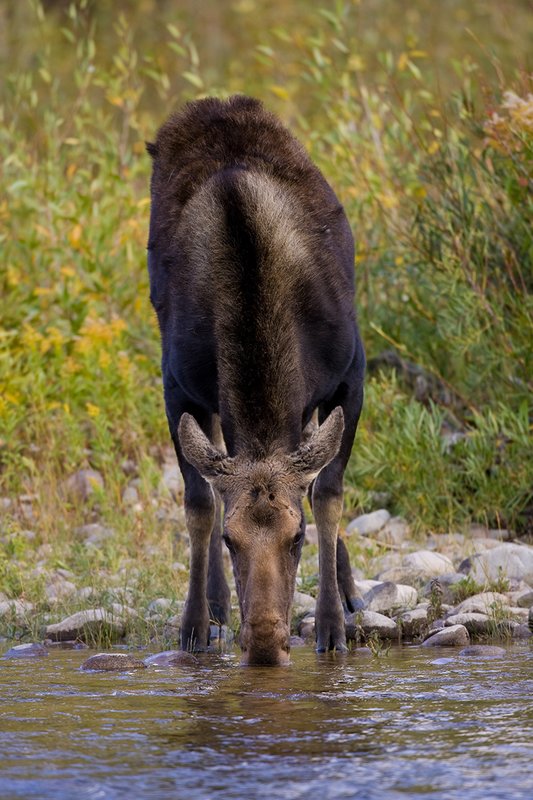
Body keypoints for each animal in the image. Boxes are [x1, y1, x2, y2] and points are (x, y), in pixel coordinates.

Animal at [146, 95, 365, 666]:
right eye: (231, 541)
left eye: (298, 538)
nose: (266, 647)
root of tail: (215, 103)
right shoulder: (176, 385)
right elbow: (199, 504)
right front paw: (195, 624)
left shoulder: (350, 373)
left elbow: (328, 493)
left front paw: (332, 626)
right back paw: (218, 603)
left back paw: (350, 590)